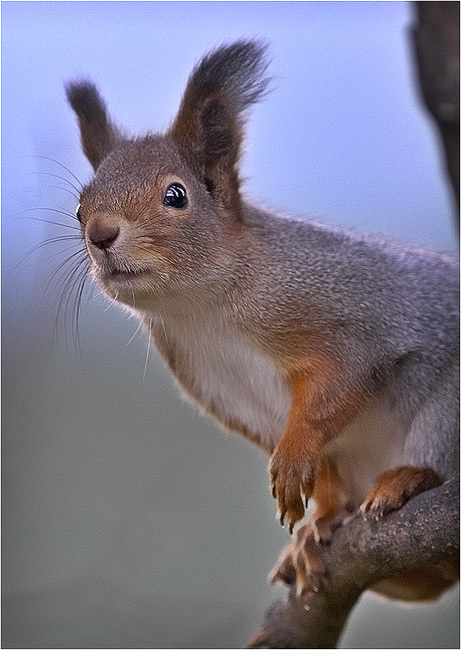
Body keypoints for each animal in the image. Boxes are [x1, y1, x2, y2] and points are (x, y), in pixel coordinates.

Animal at [63, 39, 456, 596]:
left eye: (176, 195)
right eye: (79, 207)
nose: (100, 234)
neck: (199, 311)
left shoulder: (344, 316)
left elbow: (336, 387)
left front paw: (292, 463)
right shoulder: (233, 397)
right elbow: (325, 464)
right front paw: (318, 519)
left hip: (448, 413)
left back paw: (408, 479)